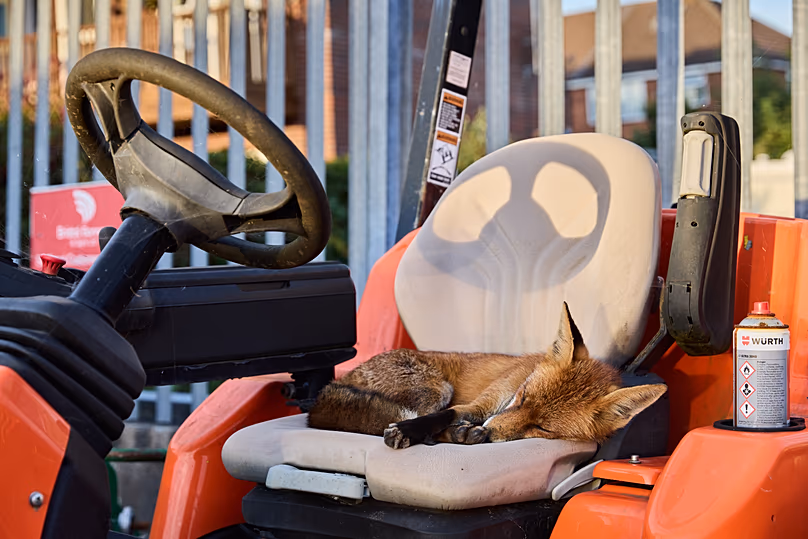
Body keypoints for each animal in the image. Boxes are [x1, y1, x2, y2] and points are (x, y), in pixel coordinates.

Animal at [307, 302, 667, 449]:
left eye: (542, 429)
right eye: (522, 397)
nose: (490, 431)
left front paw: (466, 432)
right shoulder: (481, 404)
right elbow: (446, 415)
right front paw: (411, 430)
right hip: (435, 389)